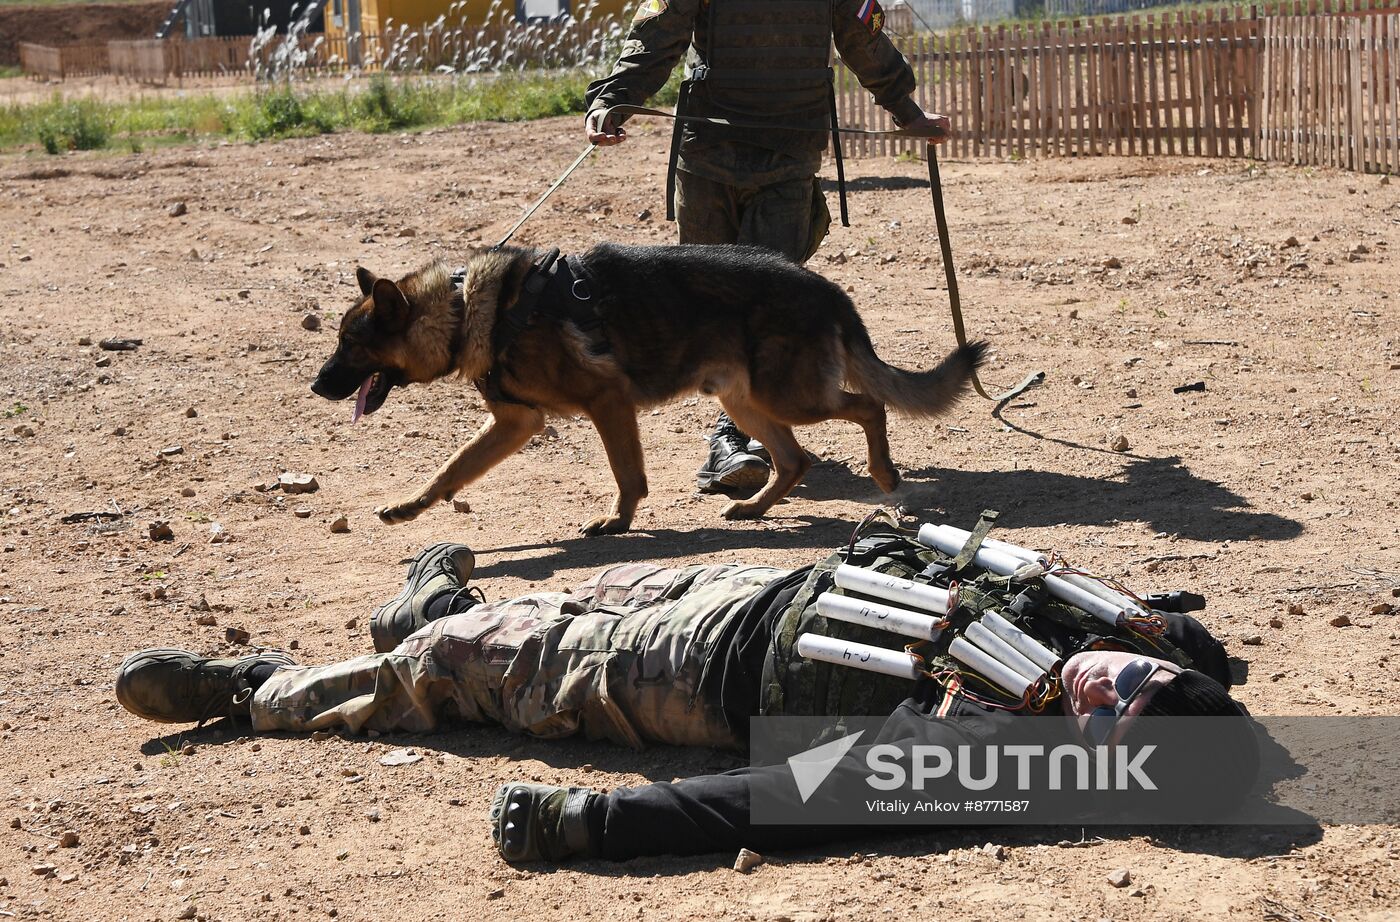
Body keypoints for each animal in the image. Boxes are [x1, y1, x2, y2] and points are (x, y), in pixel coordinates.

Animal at [313, 242, 985, 537]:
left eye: (350, 344)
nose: (318, 385)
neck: (465, 309)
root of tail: (830, 290)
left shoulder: (607, 403)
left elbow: (628, 475)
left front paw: (618, 521)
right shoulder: (515, 424)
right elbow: (449, 469)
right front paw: (408, 507)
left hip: (790, 398)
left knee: (869, 406)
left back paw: (885, 475)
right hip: (745, 402)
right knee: (796, 460)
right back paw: (753, 507)